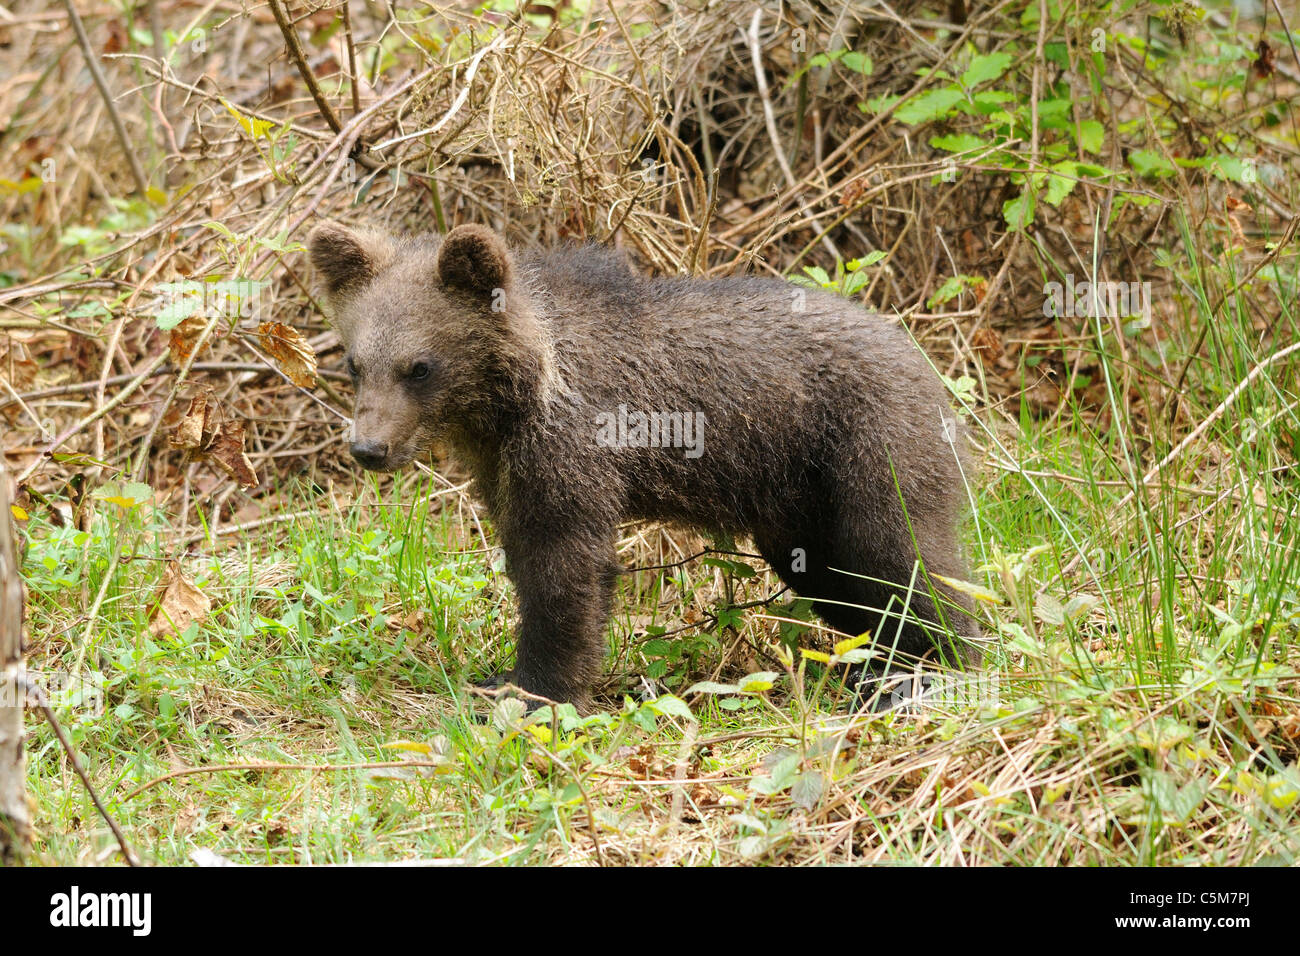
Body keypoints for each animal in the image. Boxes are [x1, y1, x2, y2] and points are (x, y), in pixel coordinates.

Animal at [306, 221, 981, 710]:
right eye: (355, 363)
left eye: (420, 367)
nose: (369, 449)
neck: (515, 398)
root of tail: (921, 354)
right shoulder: (506, 467)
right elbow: (528, 556)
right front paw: (501, 679)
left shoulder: (570, 451)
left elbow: (565, 570)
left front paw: (535, 692)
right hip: (800, 498)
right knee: (837, 577)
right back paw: (875, 669)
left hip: (870, 443)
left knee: (902, 555)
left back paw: (939, 670)